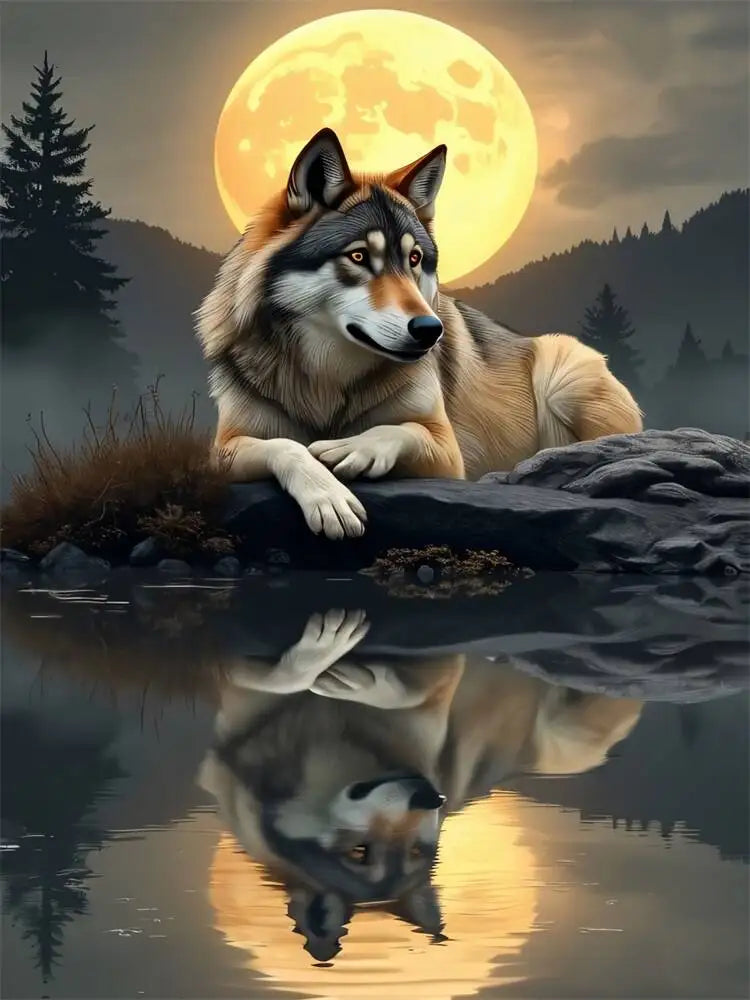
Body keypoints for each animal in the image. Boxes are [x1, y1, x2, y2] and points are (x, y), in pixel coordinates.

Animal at [195, 128, 643, 540]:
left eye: (414, 259)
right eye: (359, 256)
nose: (430, 330)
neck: (327, 380)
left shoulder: (447, 451)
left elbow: (398, 430)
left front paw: (353, 447)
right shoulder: (224, 449)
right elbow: (286, 446)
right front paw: (328, 497)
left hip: (562, 374)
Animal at [198, 608, 642, 961]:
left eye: (415, 850)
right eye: (359, 852)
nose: (430, 795)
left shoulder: (437, 692)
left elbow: (417, 684)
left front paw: (364, 678)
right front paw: (310, 661)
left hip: (576, 740)